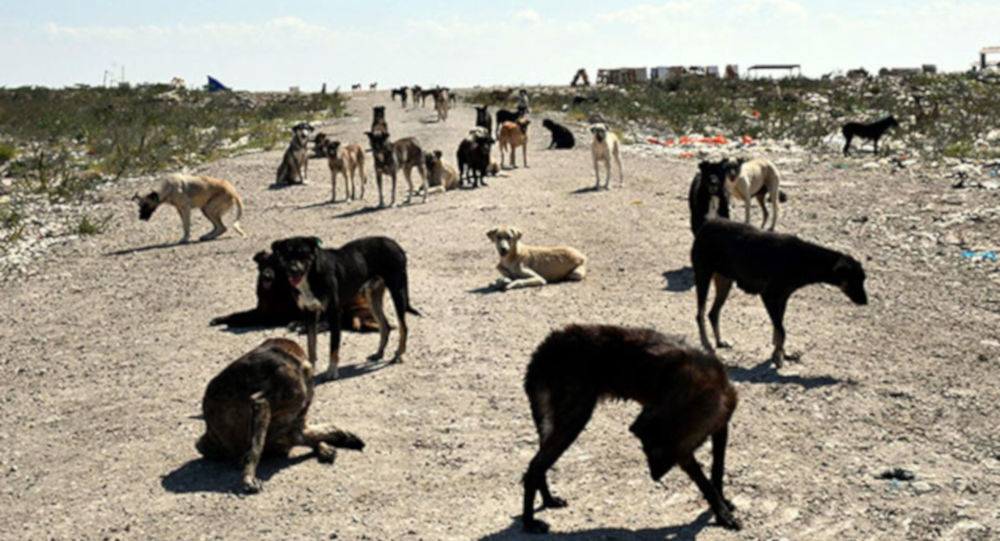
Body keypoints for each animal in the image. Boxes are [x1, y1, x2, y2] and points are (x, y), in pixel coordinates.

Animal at [209, 250, 380, 334]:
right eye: (264, 264)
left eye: (277, 265)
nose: (266, 276)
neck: (274, 291)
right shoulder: (260, 312)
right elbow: (237, 315)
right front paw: (220, 319)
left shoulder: (272, 317)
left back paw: (301, 325)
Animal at [268, 235, 420, 380]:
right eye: (286, 254)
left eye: (302, 253)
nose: (292, 270)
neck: (312, 275)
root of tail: (394, 243)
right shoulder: (310, 313)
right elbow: (311, 345)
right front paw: (310, 369)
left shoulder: (334, 313)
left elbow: (333, 347)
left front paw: (332, 372)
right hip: (372, 297)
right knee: (385, 326)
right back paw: (378, 353)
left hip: (397, 292)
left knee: (403, 327)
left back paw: (400, 354)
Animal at [520, 324, 740, 532]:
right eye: (648, 452)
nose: (654, 478)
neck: (703, 389)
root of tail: (543, 350)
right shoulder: (683, 452)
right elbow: (704, 483)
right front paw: (722, 514)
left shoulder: (720, 426)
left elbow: (717, 469)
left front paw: (723, 502)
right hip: (573, 420)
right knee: (534, 467)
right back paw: (529, 523)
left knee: (538, 465)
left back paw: (548, 501)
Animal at [692, 218, 872, 368]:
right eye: (854, 280)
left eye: (863, 279)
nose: (865, 302)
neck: (803, 259)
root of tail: (707, 225)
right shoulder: (769, 296)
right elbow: (781, 330)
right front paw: (778, 357)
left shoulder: (783, 297)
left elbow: (778, 329)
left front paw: (780, 353)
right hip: (703, 275)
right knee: (700, 314)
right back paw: (706, 344)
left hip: (725, 281)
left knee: (713, 313)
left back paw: (719, 341)